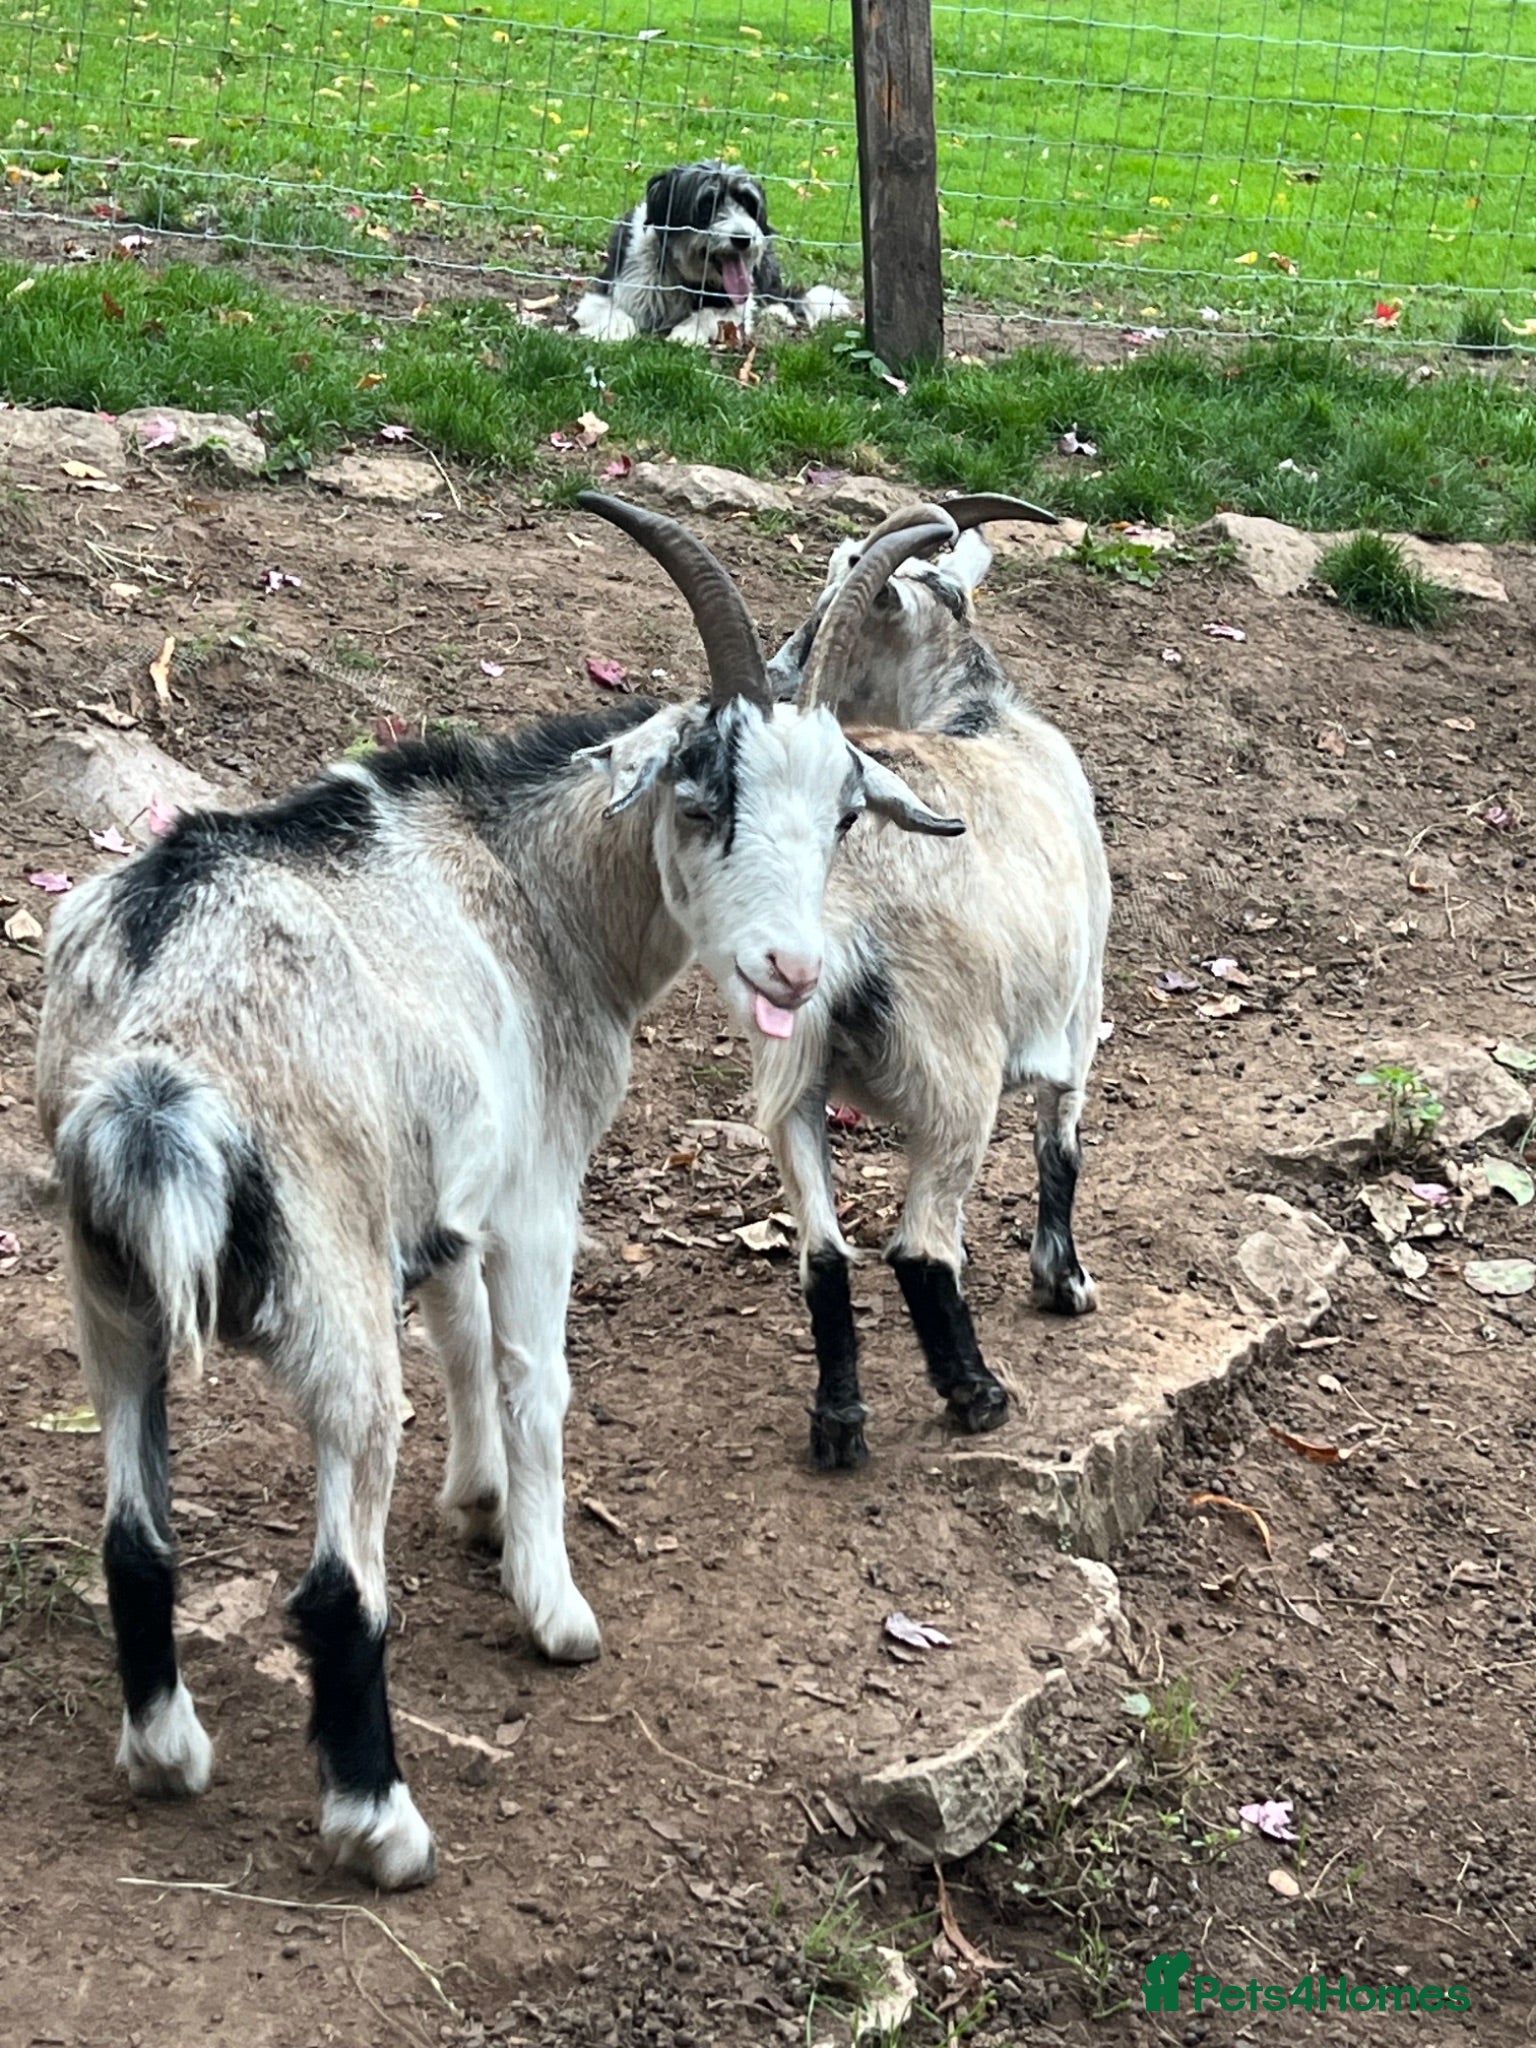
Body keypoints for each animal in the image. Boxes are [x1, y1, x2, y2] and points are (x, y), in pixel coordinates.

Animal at [34, 495, 967, 1888]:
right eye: (703, 791)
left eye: (847, 815)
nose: (791, 969)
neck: (532, 886)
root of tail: (155, 1053)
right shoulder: (535, 1193)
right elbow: (535, 1378)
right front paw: (552, 1600)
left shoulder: (450, 1190)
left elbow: (464, 1334)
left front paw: (474, 1505)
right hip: (330, 1290)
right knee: (337, 1580)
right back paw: (382, 1823)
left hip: (107, 1291)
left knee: (134, 1535)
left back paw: (166, 1752)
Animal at [754, 496, 1111, 1469]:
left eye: (831, 598)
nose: (778, 673)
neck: (978, 716)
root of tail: (842, 903)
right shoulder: (1079, 1013)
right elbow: (1061, 1144)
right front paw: (1064, 1281)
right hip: (956, 1069)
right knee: (918, 1247)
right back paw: (977, 1395)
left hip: (792, 1074)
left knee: (824, 1251)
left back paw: (839, 1425)